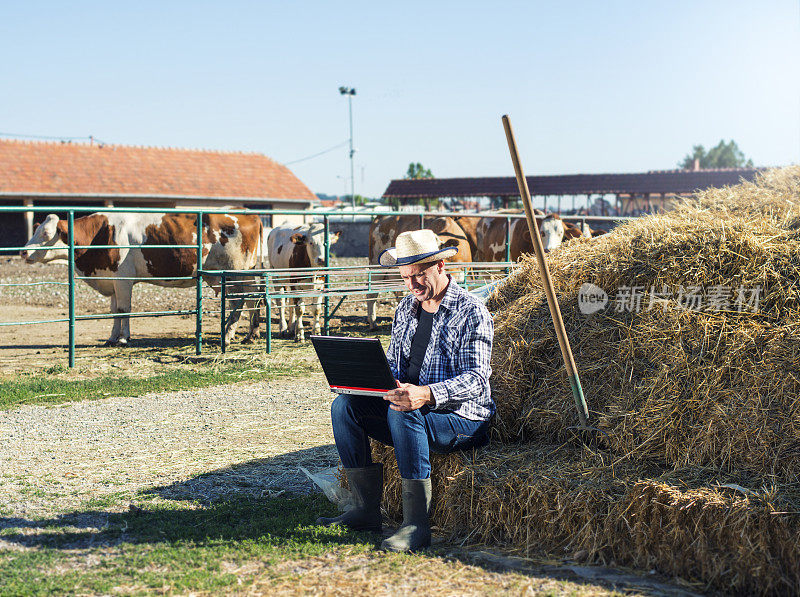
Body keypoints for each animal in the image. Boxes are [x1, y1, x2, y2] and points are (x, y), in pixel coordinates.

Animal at [21, 213, 262, 344]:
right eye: (36, 230)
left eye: (45, 233)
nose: (23, 252)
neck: (101, 234)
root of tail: (248, 215)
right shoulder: (112, 279)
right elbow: (114, 311)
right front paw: (112, 337)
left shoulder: (123, 279)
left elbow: (123, 310)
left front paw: (123, 338)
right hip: (239, 273)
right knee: (252, 299)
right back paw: (250, 334)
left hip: (234, 273)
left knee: (238, 302)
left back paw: (228, 335)